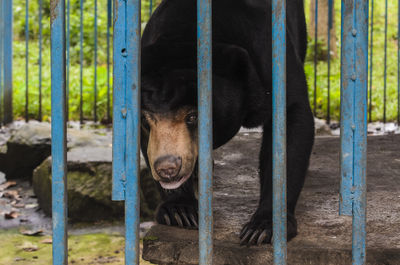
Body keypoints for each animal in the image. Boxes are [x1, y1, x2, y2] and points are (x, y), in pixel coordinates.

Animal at [139, 0, 314, 244]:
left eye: (193, 116)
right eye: (147, 120)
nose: (167, 168)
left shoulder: (269, 52)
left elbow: (291, 118)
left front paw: (262, 229)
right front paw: (180, 212)